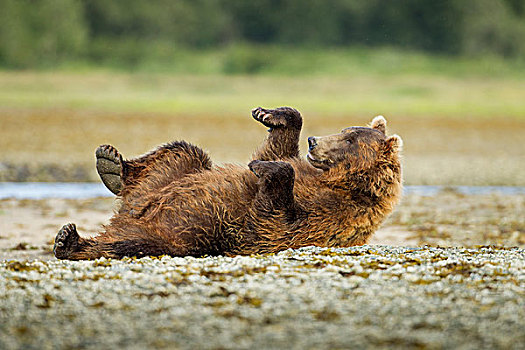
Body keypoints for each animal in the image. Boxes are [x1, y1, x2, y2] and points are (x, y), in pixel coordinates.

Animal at [53, 106, 402, 260]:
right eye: (346, 130)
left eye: (350, 139)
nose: (315, 142)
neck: (339, 182)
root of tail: (127, 213)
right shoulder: (308, 173)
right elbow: (278, 149)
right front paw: (270, 115)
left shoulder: (328, 217)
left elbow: (274, 219)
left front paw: (264, 167)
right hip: (164, 184)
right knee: (184, 152)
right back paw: (112, 165)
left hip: (182, 236)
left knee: (134, 244)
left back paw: (69, 241)